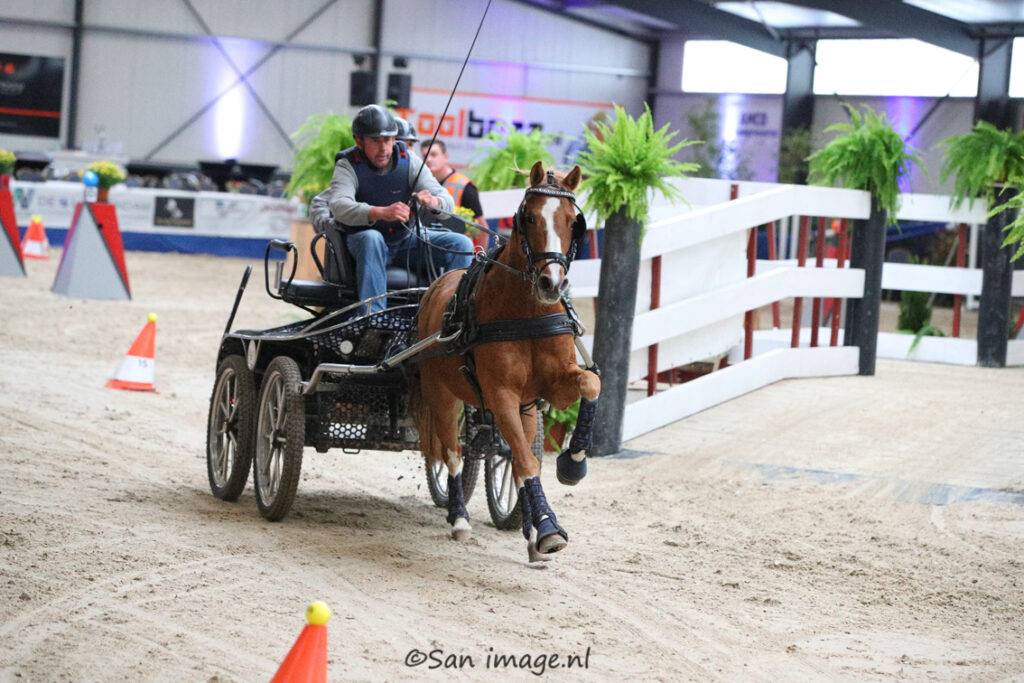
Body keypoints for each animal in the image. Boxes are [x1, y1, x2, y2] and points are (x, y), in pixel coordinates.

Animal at [413, 160, 601, 562]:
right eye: (529, 217)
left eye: (572, 220)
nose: (551, 283)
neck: (525, 311)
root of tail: (435, 287)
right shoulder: (501, 396)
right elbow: (525, 462)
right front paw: (549, 528)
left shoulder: (550, 388)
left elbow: (591, 382)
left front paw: (573, 463)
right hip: (442, 395)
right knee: (453, 454)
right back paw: (460, 519)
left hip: (527, 408)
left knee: (511, 454)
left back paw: (528, 529)